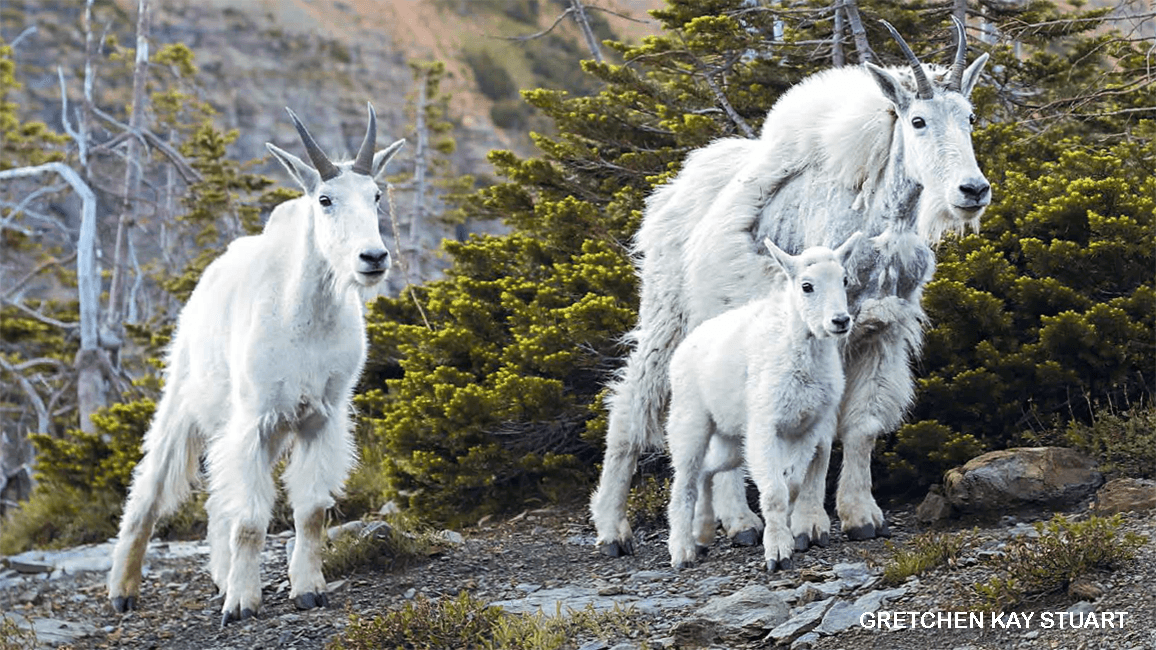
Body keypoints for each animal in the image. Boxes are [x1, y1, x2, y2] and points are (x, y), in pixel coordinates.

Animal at [107, 105, 404, 626]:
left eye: (376, 195)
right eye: (325, 199)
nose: (373, 257)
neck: (306, 317)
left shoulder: (320, 419)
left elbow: (309, 511)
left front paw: (308, 590)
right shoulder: (255, 419)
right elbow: (249, 519)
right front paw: (243, 604)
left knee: (217, 503)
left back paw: (222, 576)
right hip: (184, 400)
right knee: (150, 489)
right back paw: (124, 590)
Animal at [665, 233, 863, 571]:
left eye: (845, 279)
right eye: (806, 286)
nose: (840, 321)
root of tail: (684, 347)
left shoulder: (806, 428)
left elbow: (791, 484)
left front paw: (789, 534)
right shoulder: (765, 425)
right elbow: (774, 492)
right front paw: (778, 553)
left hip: (733, 440)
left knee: (707, 470)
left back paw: (702, 534)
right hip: (690, 421)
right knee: (685, 482)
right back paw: (682, 550)